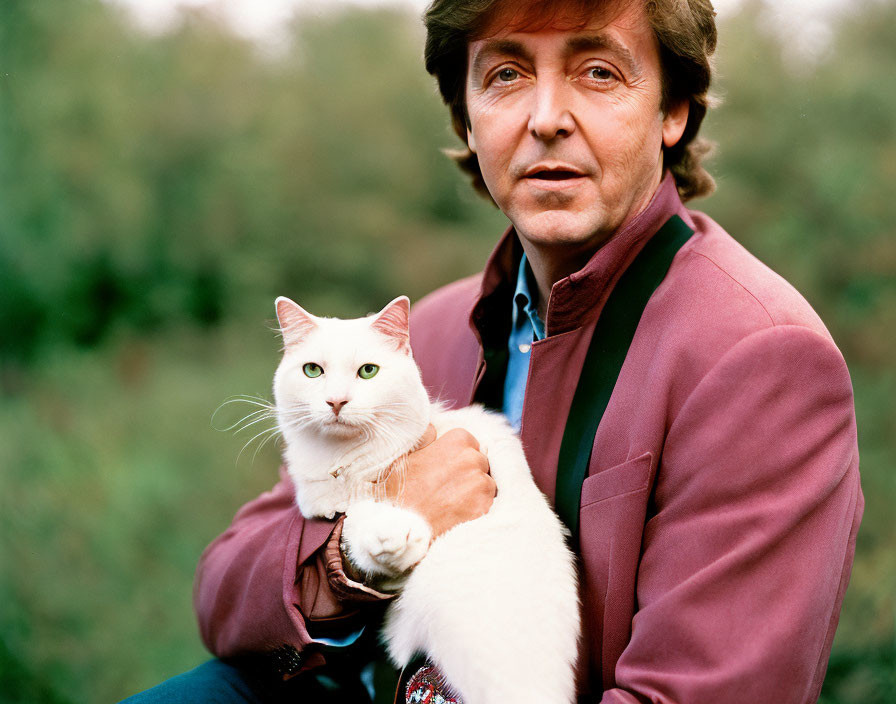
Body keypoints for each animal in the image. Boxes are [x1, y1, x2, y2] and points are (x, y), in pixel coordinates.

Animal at [272, 294, 580, 704]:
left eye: (368, 372)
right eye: (312, 371)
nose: (336, 401)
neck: (347, 460)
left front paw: (395, 533)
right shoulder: (325, 502)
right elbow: (353, 519)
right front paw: (389, 536)